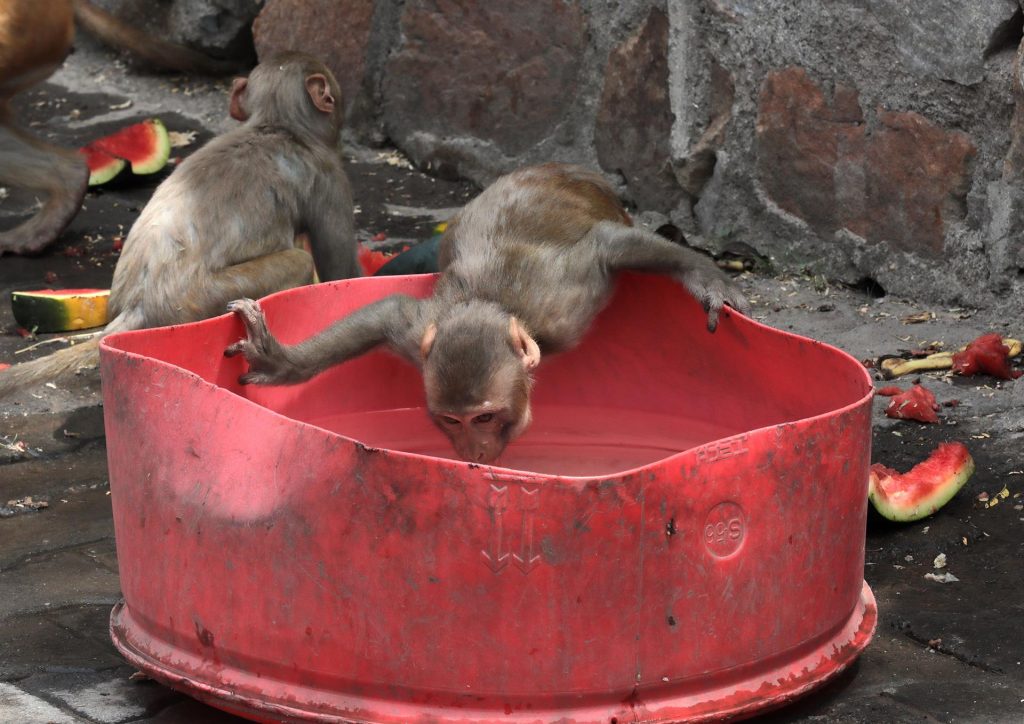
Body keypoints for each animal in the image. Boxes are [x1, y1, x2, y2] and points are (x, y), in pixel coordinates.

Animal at [0, 52, 360, 398]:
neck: (276, 123)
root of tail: (136, 308)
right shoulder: (329, 175)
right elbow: (339, 271)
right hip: (202, 299)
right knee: (299, 262)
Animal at [225, 163, 749, 464]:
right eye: (452, 421)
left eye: (484, 417)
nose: (472, 452)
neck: (496, 306)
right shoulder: (417, 334)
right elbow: (387, 311)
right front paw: (283, 362)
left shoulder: (569, 299)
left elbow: (609, 247)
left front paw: (707, 278)